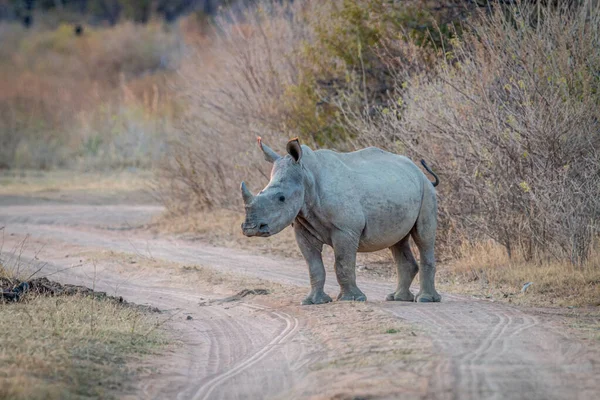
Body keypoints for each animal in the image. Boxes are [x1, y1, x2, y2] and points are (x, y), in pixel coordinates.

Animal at [241, 138, 442, 304]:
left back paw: (425, 300)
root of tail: (419, 171)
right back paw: (397, 298)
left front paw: (352, 299)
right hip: (400, 189)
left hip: (426, 192)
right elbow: (313, 266)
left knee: (423, 237)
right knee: (398, 241)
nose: (250, 228)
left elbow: (342, 263)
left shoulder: (345, 229)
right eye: (260, 192)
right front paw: (314, 302)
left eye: (281, 198)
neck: (307, 175)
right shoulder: (302, 227)